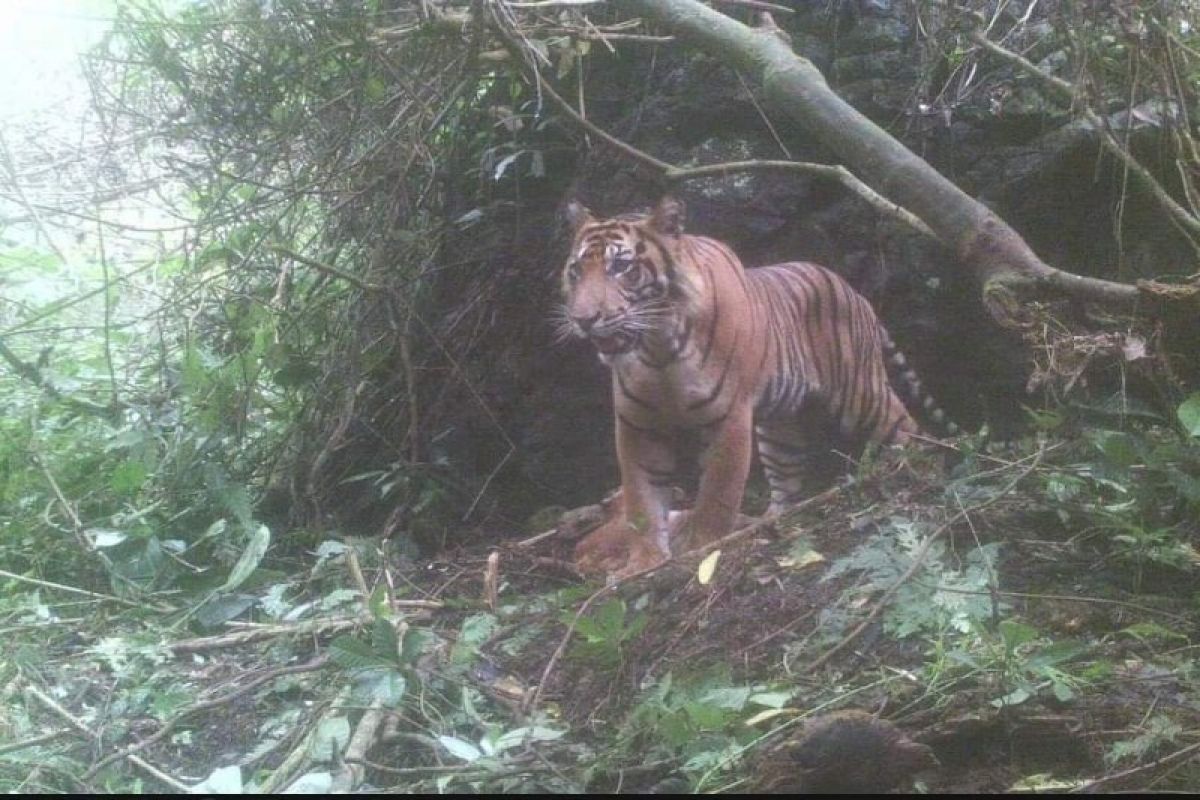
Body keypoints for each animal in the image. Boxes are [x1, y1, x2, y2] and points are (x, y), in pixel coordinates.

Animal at [556, 196, 950, 578]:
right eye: (576, 271)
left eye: (620, 267)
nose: (583, 319)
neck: (658, 350)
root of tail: (855, 292)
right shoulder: (638, 425)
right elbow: (642, 500)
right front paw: (645, 563)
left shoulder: (728, 416)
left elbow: (717, 493)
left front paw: (702, 549)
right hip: (779, 429)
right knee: (787, 482)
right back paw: (771, 524)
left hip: (859, 394)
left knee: (905, 426)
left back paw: (916, 467)